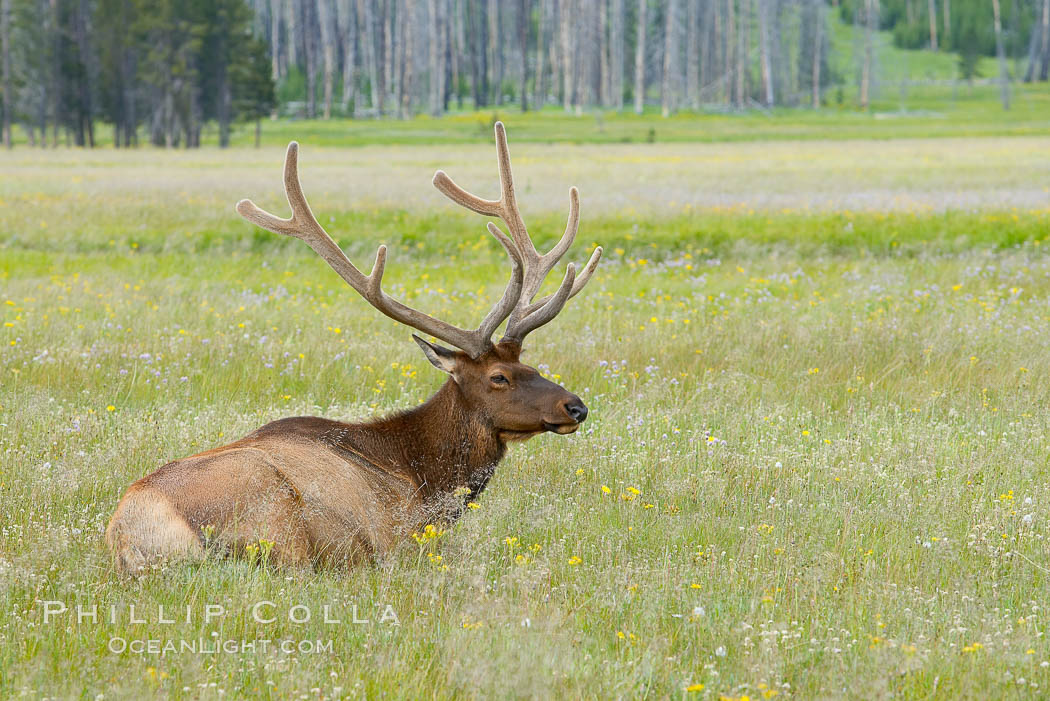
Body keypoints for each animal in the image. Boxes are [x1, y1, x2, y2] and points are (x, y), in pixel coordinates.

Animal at [106, 124, 604, 575]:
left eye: (530, 366)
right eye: (499, 377)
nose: (576, 406)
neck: (426, 478)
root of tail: (130, 534)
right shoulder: (399, 539)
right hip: (277, 521)